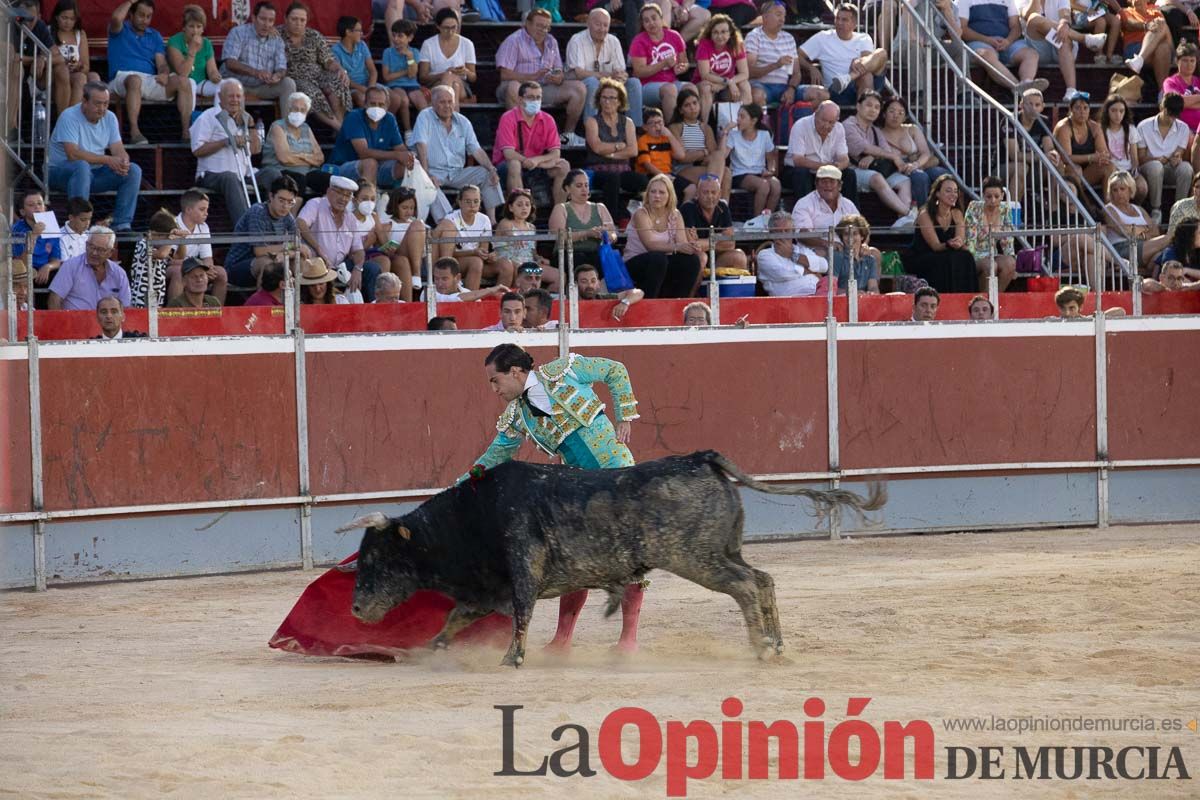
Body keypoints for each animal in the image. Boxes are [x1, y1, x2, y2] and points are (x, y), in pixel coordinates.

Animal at [338, 450, 883, 671]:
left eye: (379, 558)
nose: (357, 609)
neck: (472, 518)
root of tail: (701, 458)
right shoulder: (485, 589)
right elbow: (453, 620)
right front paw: (429, 650)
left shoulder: (520, 571)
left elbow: (521, 617)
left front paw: (511, 660)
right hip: (723, 551)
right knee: (764, 578)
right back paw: (777, 644)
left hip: (696, 558)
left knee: (747, 586)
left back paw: (761, 649)